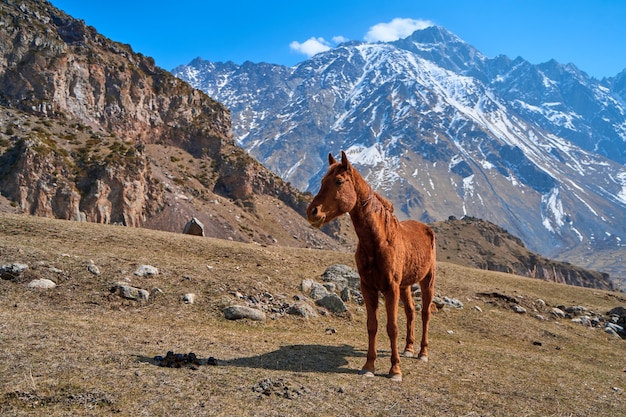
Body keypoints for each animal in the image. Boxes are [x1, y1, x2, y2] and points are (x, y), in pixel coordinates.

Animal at [306, 150, 434, 380]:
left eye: (339, 181)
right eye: (321, 182)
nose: (312, 212)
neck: (379, 240)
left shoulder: (391, 288)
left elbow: (392, 327)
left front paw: (395, 370)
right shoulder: (368, 287)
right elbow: (372, 326)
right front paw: (368, 366)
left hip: (427, 280)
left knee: (425, 313)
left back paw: (422, 353)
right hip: (405, 285)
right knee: (410, 311)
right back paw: (409, 349)